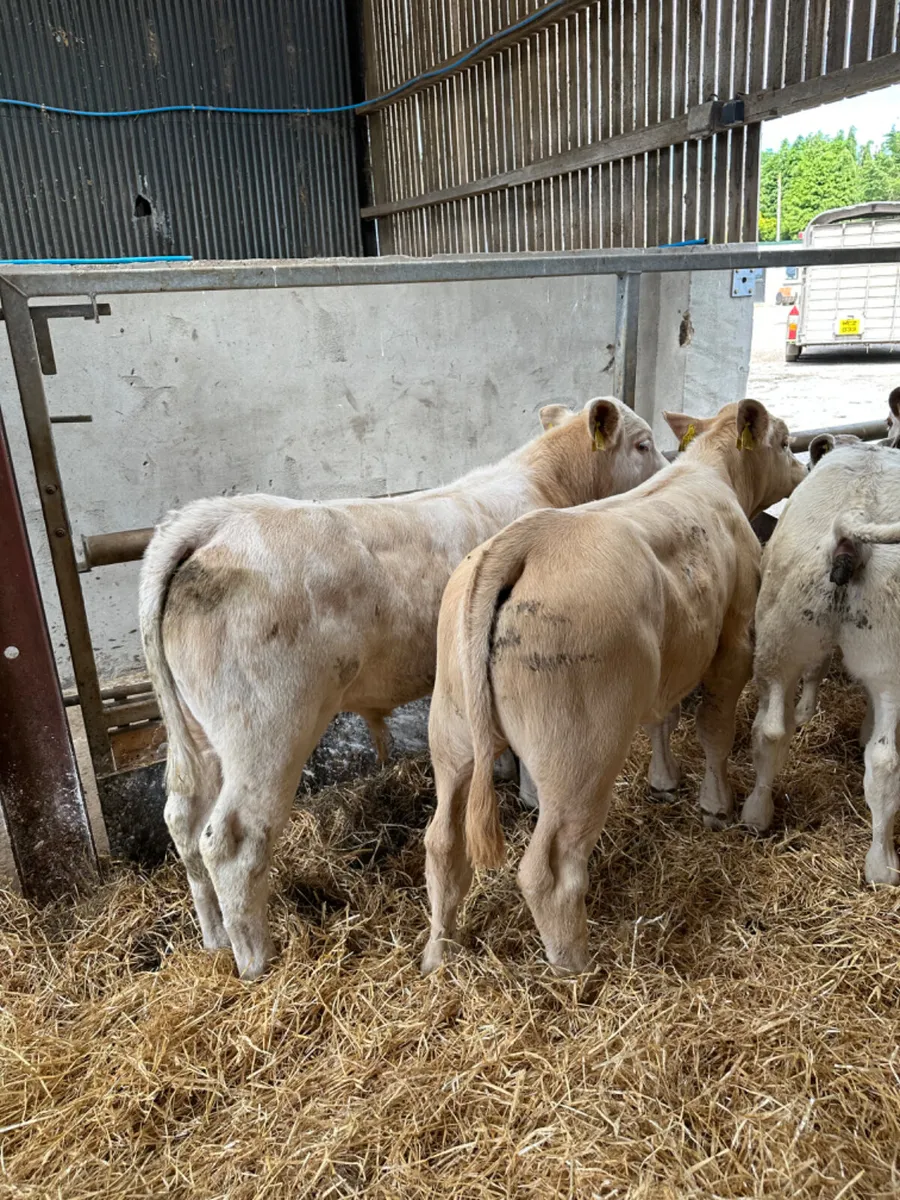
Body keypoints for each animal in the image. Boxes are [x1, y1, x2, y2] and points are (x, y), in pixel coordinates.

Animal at [139, 396, 666, 978]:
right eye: (643, 444)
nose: (666, 470)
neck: (546, 484)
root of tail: (216, 522)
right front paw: (527, 793)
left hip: (197, 729)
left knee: (183, 818)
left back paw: (213, 937)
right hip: (266, 729)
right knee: (233, 842)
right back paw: (257, 961)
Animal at [421, 399, 805, 975]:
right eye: (782, 442)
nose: (802, 470)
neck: (710, 474)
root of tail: (519, 543)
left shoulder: (669, 659)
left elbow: (663, 717)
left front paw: (664, 780)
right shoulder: (734, 642)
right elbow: (714, 729)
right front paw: (716, 804)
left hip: (452, 731)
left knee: (443, 843)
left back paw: (438, 953)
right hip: (581, 754)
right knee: (549, 871)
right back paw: (575, 967)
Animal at [742, 439, 900, 887]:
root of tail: (851, 531)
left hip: (782, 636)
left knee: (772, 733)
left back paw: (756, 813)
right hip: (884, 656)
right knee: (884, 760)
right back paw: (882, 863)